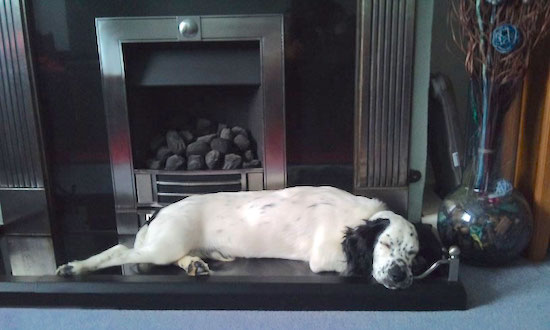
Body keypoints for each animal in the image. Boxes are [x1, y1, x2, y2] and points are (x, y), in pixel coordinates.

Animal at [58, 186, 442, 288]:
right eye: (386, 245)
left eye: (414, 256)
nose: (400, 275)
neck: (357, 217)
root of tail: (159, 212)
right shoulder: (324, 257)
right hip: (161, 247)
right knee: (118, 250)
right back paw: (75, 267)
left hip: (170, 247)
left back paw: (196, 264)